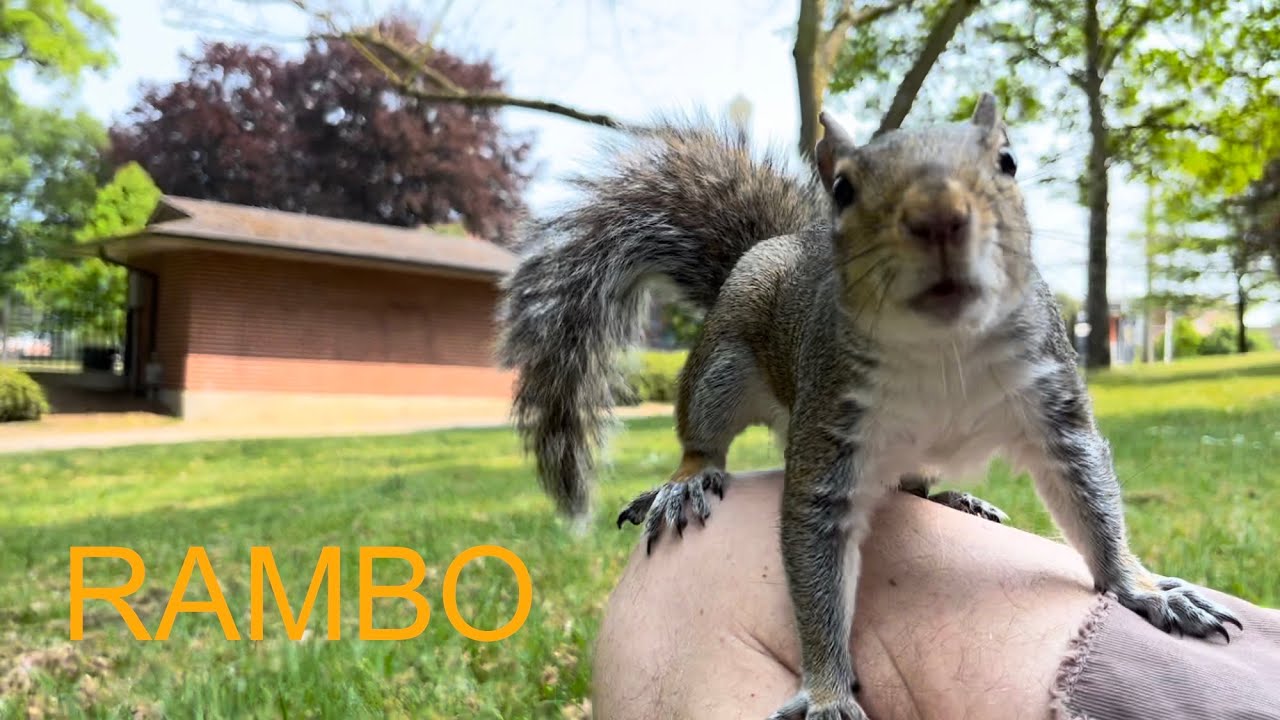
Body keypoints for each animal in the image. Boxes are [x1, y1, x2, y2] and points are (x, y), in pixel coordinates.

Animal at [495, 93, 1242, 720]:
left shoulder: (1054, 404)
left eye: (1007, 161)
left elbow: (1091, 503)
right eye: (846, 188)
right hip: (725, 364)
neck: (942, 349)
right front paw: (828, 691)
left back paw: (957, 500)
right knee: (702, 435)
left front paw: (1145, 591)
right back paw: (687, 482)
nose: (938, 216)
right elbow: (817, 572)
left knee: (912, 483)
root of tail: (779, 246)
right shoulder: (830, 430)